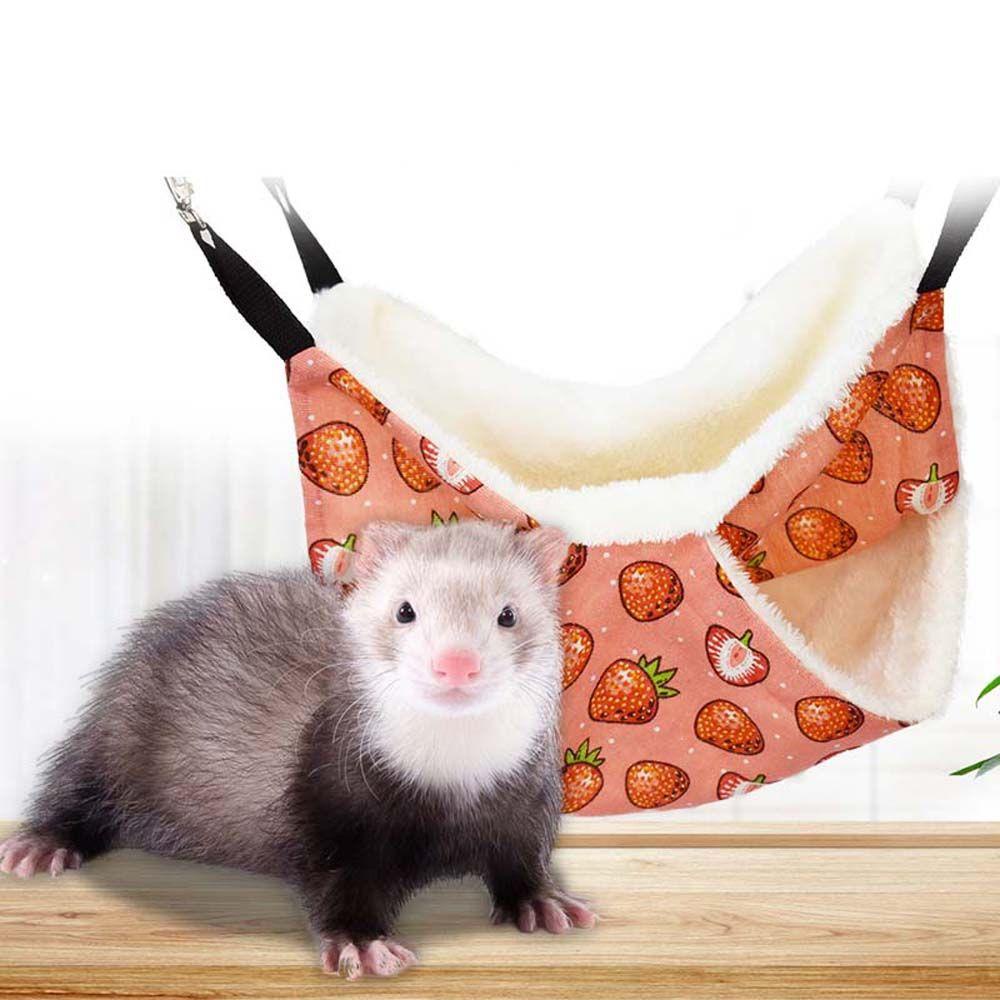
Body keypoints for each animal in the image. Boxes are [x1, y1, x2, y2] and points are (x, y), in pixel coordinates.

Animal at [0, 520, 596, 979]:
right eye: (404, 610)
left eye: (508, 613)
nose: (455, 662)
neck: (450, 780)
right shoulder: (332, 801)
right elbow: (339, 884)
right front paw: (362, 943)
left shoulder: (527, 797)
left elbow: (522, 857)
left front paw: (542, 901)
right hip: (113, 736)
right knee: (74, 787)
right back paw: (42, 844)